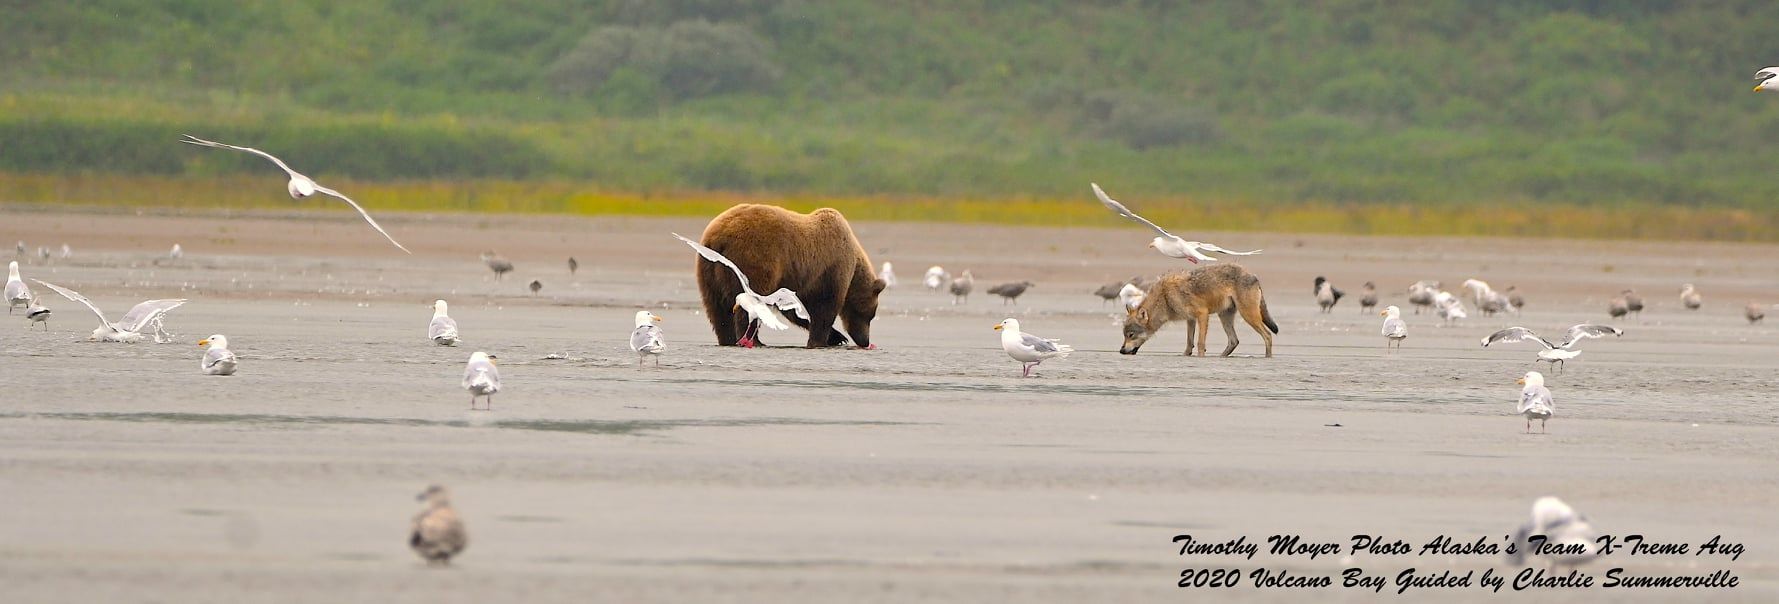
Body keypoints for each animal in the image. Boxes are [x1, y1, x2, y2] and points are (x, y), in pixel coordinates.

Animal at [697, 202, 885, 346]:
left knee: (717, 309)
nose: (865, 341)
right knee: (749, 304)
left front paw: (836, 337)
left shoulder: (801, 279)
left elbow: (796, 310)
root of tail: (719, 236)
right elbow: (825, 306)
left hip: (708, 270)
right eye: (870, 315)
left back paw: (727, 338)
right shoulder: (831, 269)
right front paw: (825, 340)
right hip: (754, 260)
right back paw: (754, 340)